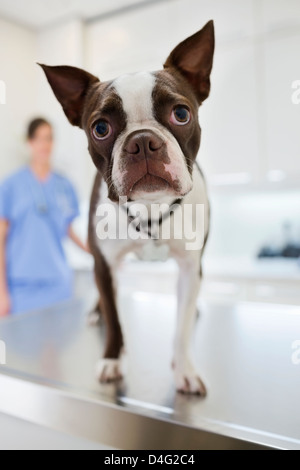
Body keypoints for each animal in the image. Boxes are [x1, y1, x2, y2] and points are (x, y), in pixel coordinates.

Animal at [39, 21, 213, 396]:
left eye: (181, 114)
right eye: (100, 128)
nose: (143, 141)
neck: (150, 209)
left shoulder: (190, 267)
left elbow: (181, 328)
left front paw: (184, 369)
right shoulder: (104, 263)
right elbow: (115, 319)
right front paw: (112, 360)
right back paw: (95, 312)